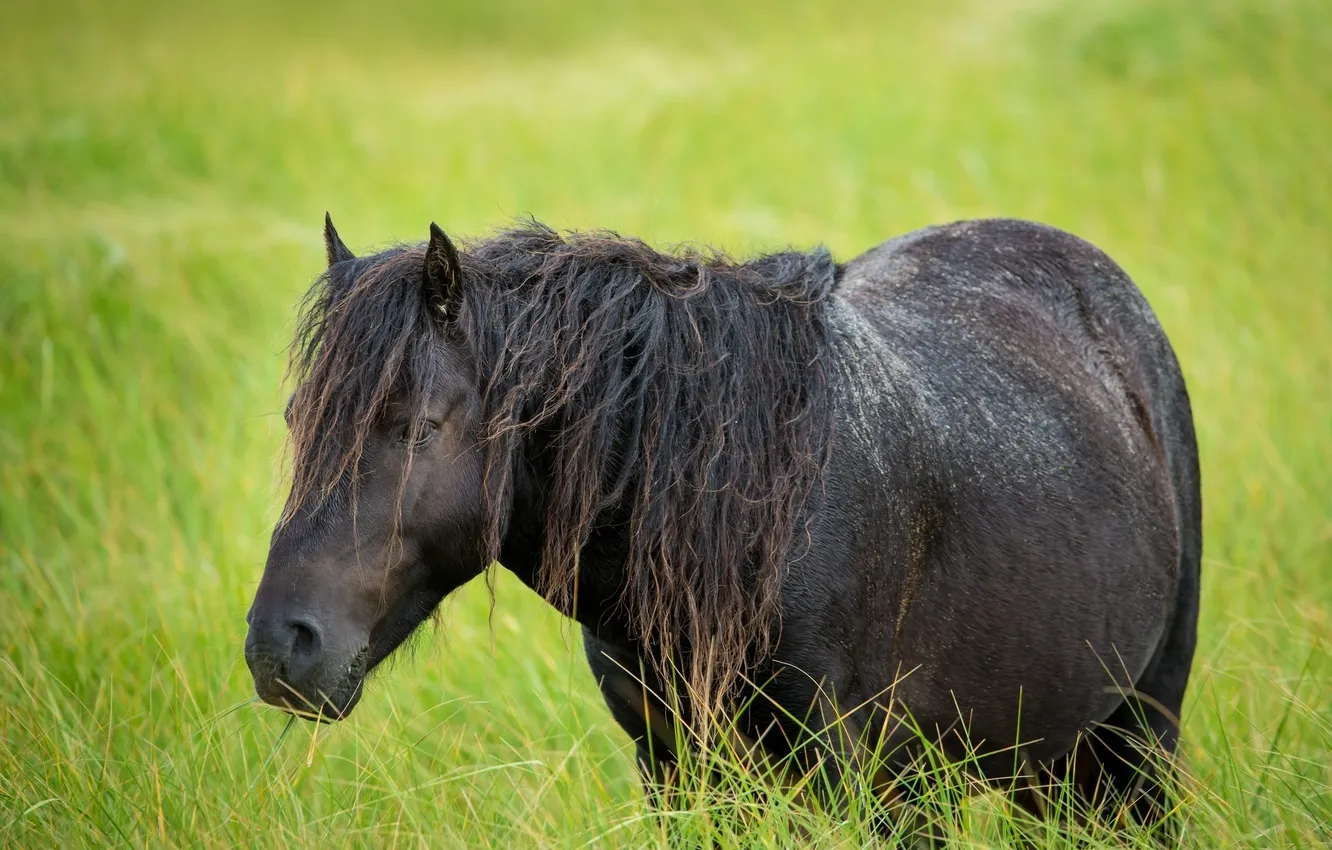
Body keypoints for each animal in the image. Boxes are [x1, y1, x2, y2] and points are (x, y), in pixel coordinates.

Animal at [244, 214, 1200, 840]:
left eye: (415, 426)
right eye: (295, 418)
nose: (278, 647)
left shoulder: (841, 771)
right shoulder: (675, 769)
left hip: (1137, 735)